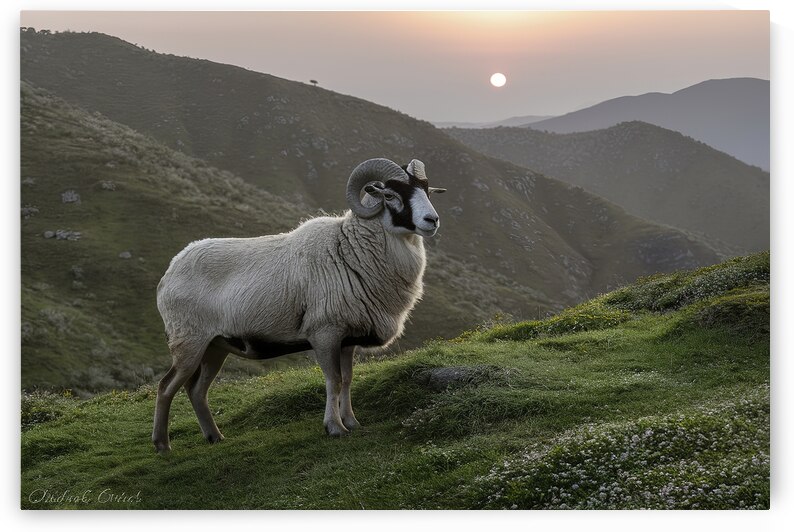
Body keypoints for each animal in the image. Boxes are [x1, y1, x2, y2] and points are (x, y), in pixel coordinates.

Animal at [152, 157, 446, 452]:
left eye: (427, 190)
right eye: (390, 195)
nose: (432, 221)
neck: (351, 250)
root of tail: (170, 271)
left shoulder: (347, 338)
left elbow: (348, 379)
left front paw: (352, 422)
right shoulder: (324, 333)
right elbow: (333, 380)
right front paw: (334, 427)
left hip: (215, 346)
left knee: (196, 390)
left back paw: (214, 436)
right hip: (189, 342)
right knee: (166, 387)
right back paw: (162, 445)